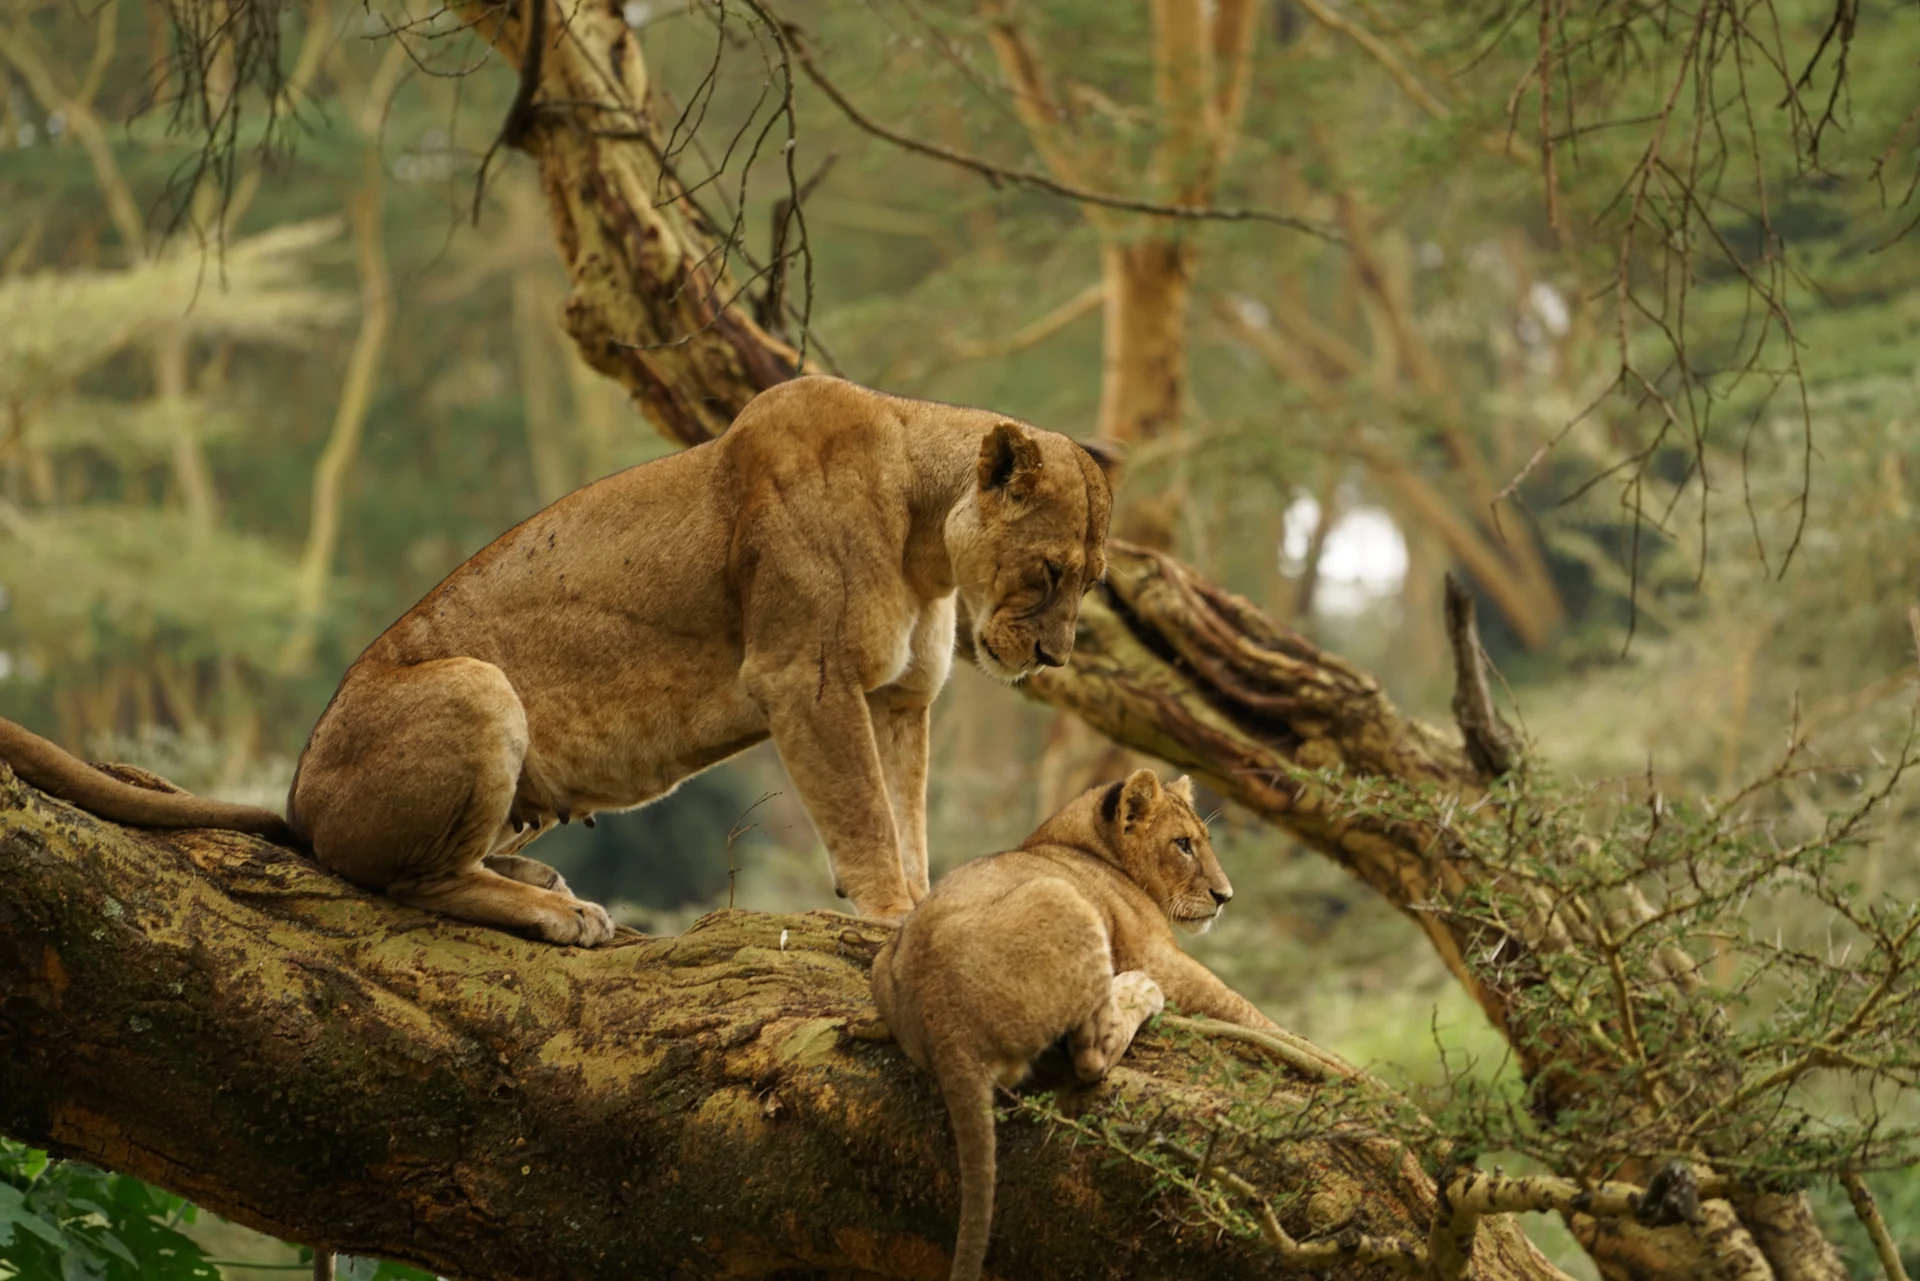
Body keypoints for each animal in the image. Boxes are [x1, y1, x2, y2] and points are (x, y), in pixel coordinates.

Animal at [0, 376, 1115, 941]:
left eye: (1093, 580)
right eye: (1051, 570)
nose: (1055, 654)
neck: (927, 536)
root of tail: (297, 801)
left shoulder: (900, 697)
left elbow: (907, 814)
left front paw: (927, 908)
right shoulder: (806, 677)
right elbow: (867, 820)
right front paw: (891, 918)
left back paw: (534, 871)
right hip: (477, 684)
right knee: (409, 882)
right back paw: (554, 908)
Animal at [869, 768, 1276, 1281]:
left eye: (1202, 842)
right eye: (1183, 844)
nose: (1225, 898)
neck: (1081, 842)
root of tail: (944, 1023)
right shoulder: (1158, 956)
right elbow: (1246, 1011)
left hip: (885, 960)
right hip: (1064, 898)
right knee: (1092, 1055)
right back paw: (1138, 991)